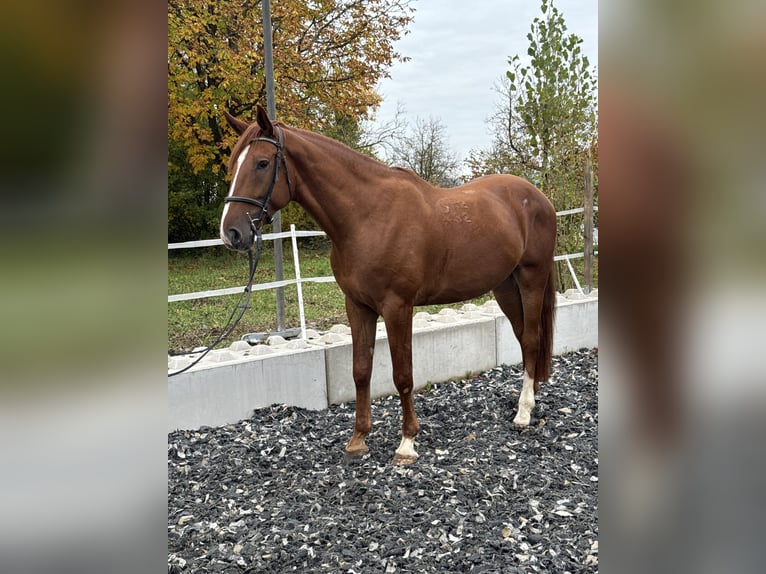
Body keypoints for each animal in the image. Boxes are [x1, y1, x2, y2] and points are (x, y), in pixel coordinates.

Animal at [220, 105, 557, 465]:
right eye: (233, 164)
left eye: (262, 163)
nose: (231, 232)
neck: (368, 217)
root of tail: (538, 197)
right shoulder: (357, 306)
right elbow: (360, 370)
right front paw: (358, 439)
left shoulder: (397, 307)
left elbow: (402, 375)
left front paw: (407, 442)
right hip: (505, 285)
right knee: (523, 337)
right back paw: (530, 396)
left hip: (531, 278)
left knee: (532, 339)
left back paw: (523, 412)